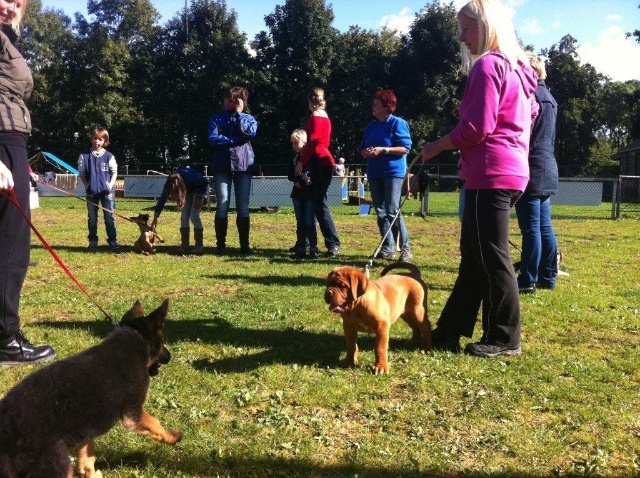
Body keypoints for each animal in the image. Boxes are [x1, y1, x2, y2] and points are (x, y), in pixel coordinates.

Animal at [0, 298, 182, 478]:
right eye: (163, 341)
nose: (170, 356)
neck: (135, 338)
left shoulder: (86, 426)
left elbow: (87, 453)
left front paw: (89, 472)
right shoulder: (133, 413)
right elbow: (155, 424)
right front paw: (173, 436)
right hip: (56, 461)